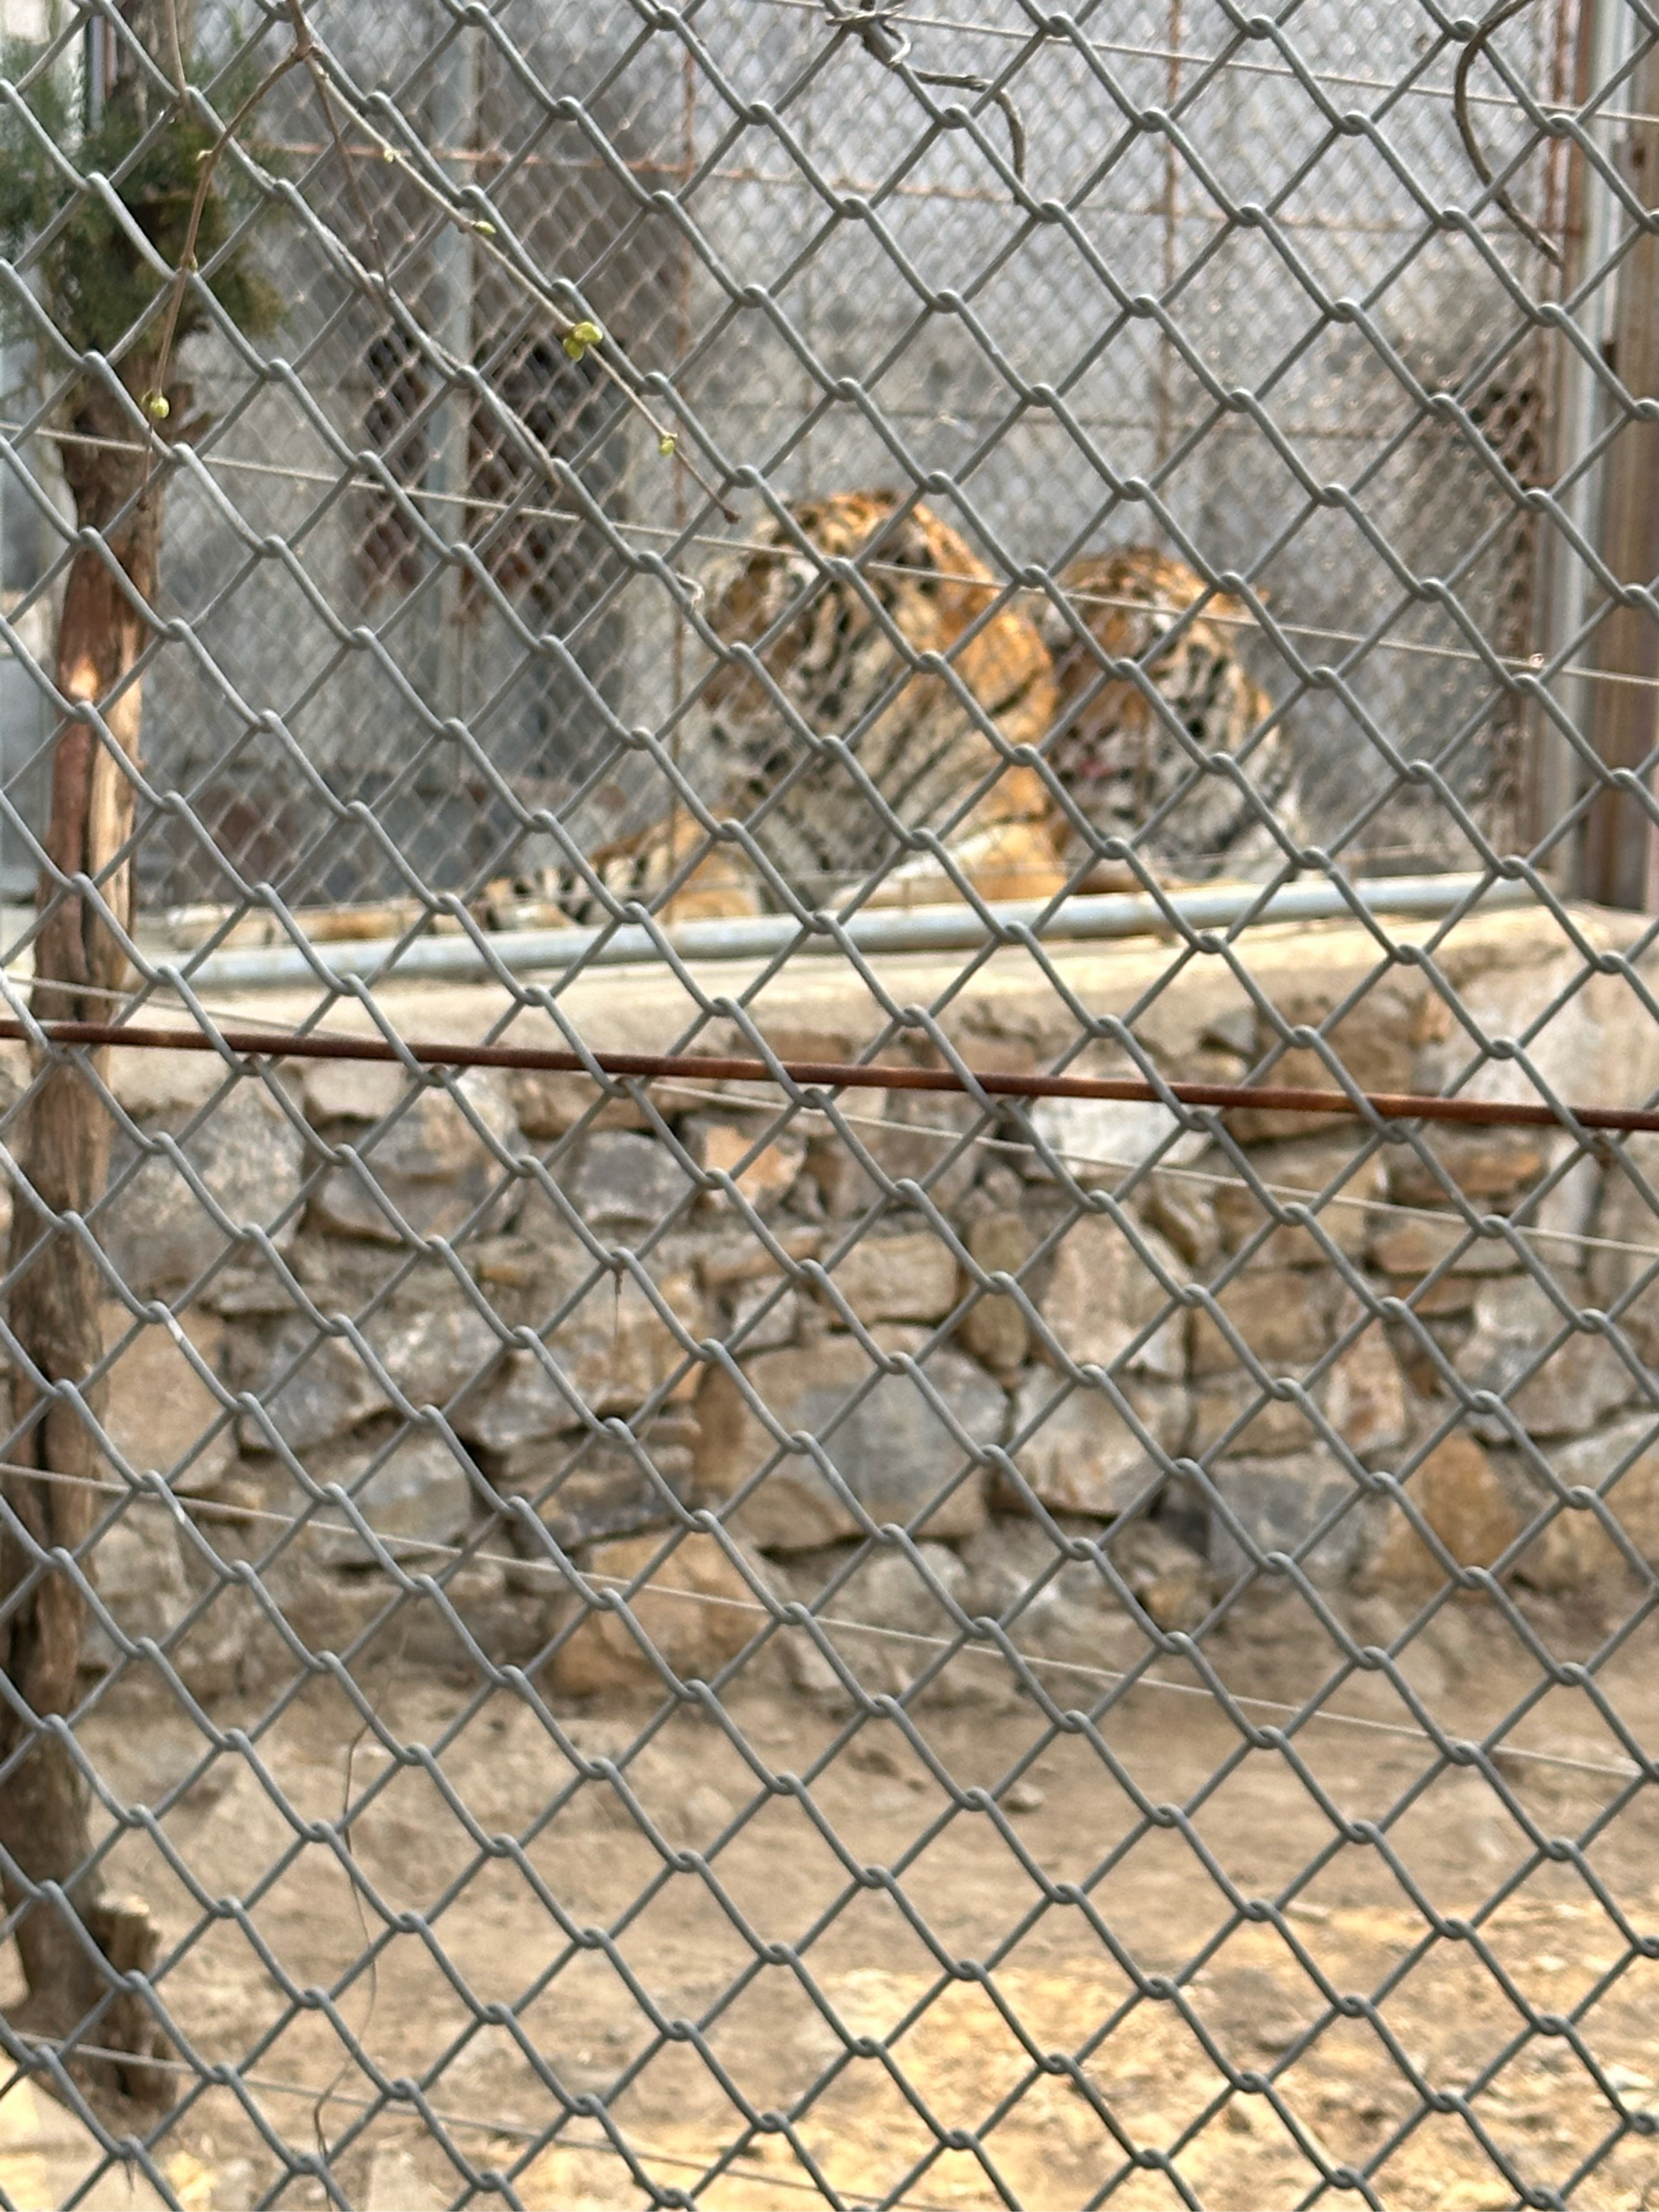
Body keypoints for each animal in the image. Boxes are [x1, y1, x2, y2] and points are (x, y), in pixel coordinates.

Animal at [571, 495, 1301, 924]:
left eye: (790, 619)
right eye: (721, 610)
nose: (712, 704)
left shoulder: (1013, 843)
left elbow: (934, 884)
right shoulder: (748, 840)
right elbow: (706, 883)